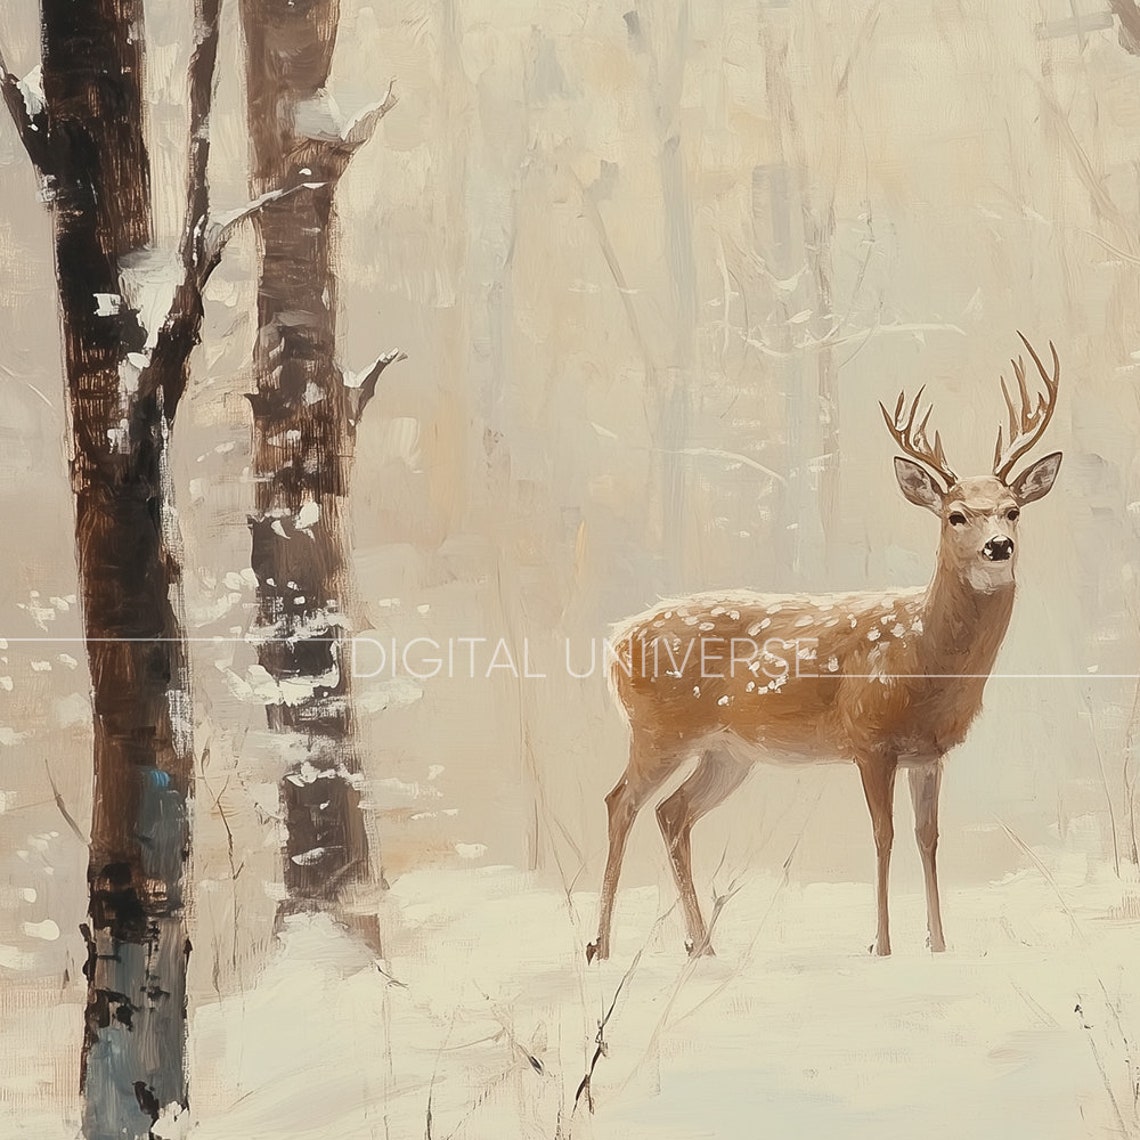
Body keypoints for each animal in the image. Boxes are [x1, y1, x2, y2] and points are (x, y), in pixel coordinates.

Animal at [587, 333, 1063, 963]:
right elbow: (883, 837)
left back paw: (702, 947)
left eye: (1014, 509)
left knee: (673, 813)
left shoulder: (928, 752)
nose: (999, 546)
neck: (923, 659)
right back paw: (600, 948)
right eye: (956, 514)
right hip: (658, 731)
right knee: (621, 802)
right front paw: (881, 945)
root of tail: (616, 641)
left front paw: (938, 945)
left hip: (727, 752)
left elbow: (928, 838)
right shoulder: (869, 739)